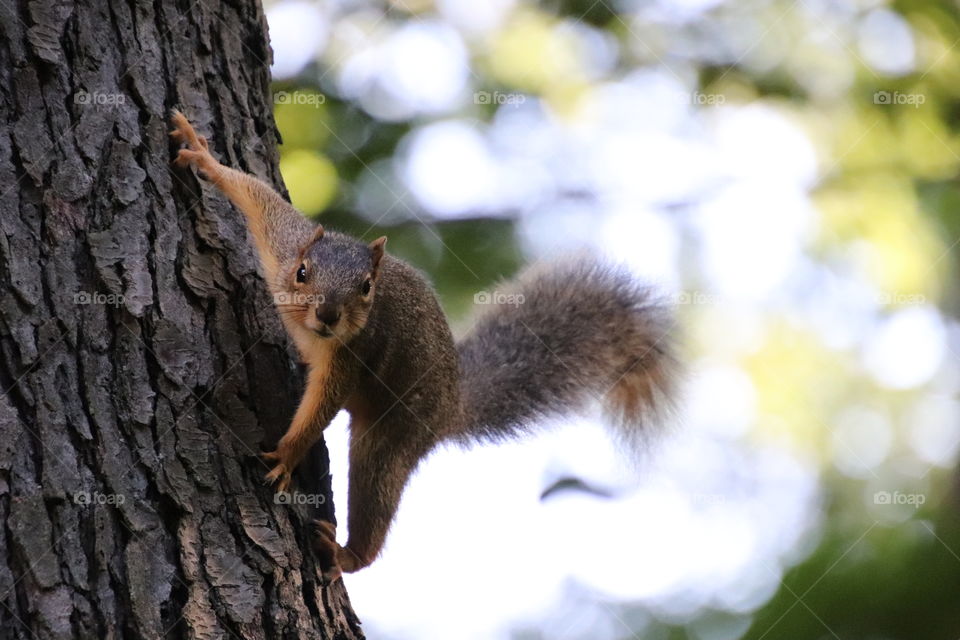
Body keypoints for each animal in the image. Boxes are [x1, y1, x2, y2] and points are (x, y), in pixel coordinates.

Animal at [169, 111, 680, 584]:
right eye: (302, 272)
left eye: (367, 288)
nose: (328, 315)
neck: (315, 334)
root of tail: (451, 405)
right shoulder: (283, 244)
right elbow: (256, 197)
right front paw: (203, 157)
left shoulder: (354, 354)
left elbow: (322, 407)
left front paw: (287, 456)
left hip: (392, 438)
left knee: (375, 494)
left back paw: (348, 555)